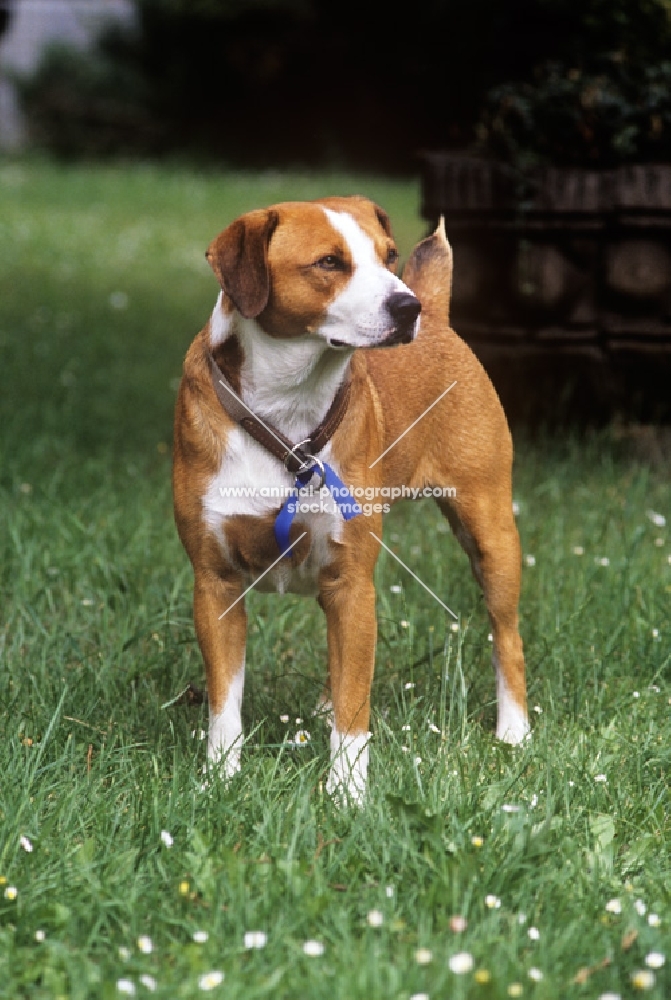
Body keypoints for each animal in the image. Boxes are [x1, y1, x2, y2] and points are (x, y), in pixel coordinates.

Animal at [173, 197, 532, 804]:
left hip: (490, 532)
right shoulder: (214, 582)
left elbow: (354, 705)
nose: (407, 306)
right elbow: (225, 701)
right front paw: (220, 779)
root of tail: (440, 313)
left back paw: (514, 731)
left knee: (506, 634)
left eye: (388, 256)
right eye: (328, 262)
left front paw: (347, 793)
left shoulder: (353, 583)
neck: (288, 416)